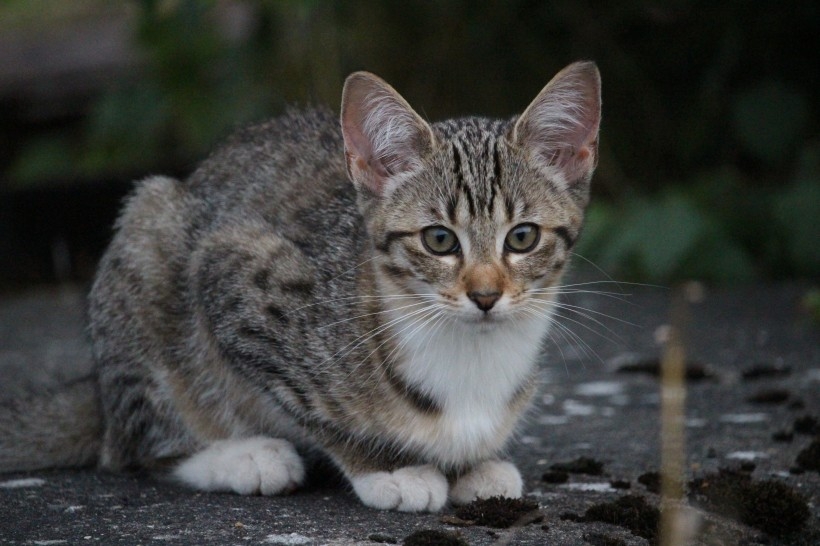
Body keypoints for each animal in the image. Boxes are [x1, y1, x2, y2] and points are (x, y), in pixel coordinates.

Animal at [0, 62, 604, 510]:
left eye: (522, 237)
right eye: (439, 240)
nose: (484, 295)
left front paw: (473, 465)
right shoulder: (235, 274)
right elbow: (311, 408)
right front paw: (389, 468)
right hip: (149, 232)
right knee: (133, 446)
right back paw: (243, 457)